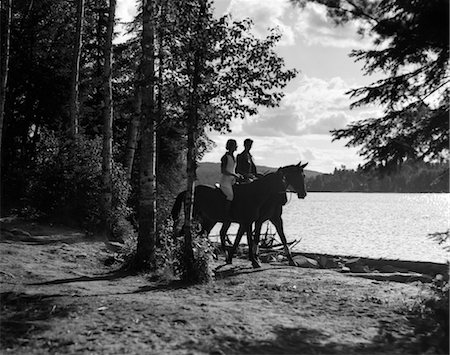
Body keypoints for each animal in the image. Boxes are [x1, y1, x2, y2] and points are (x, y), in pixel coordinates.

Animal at [171, 163, 308, 268]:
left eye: (303, 176)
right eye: (296, 177)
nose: (303, 194)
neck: (255, 194)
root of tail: (188, 191)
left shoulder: (268, 220)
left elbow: (279, 237)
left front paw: (291, 260)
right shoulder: (252, 221)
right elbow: (251, 239)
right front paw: (254, 260)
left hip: (211, 220)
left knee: (206, 234)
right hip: (195, 218)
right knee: (187, 232)